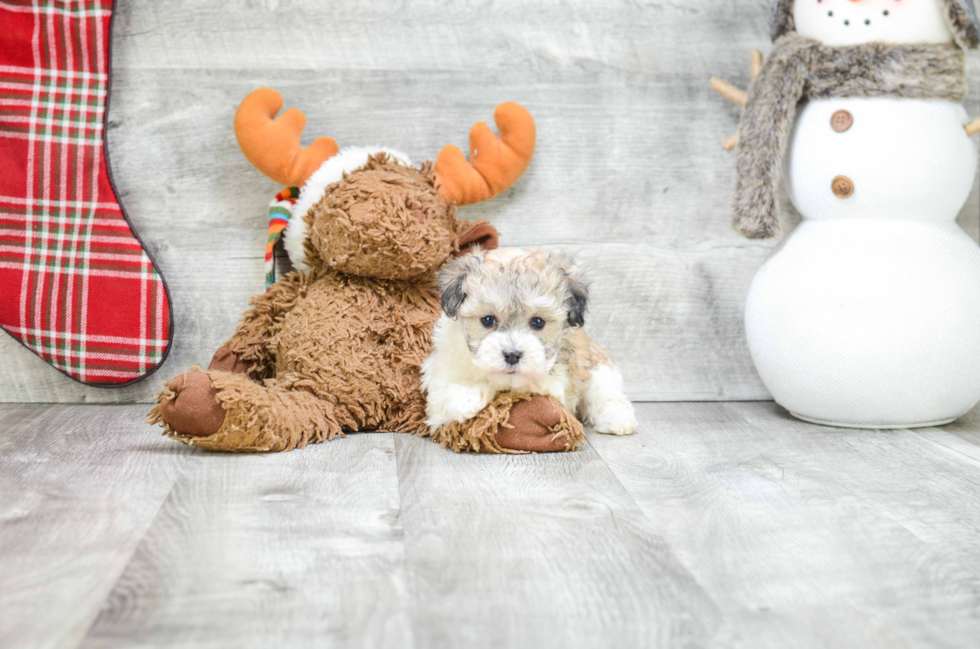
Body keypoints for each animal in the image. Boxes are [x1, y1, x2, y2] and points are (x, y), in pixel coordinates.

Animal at [424, 247, 640, 436]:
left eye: (538, 322)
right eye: (488, 320)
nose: (512, 355)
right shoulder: (441, 374)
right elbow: (445, 392)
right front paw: (466, 396)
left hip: (596, 365)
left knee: (605, 393)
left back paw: (617, 419)